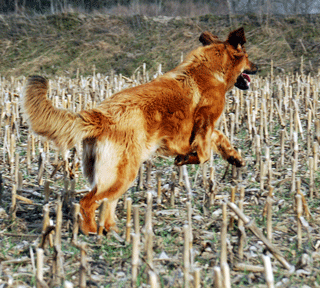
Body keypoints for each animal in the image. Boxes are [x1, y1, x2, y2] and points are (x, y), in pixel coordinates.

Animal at [22, 26, 258, 234]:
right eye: (247, 57)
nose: (258, 68)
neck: (211, 67)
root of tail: (100, 115)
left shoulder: (194, 132)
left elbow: (218, 138)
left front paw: (234, 156)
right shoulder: (204, 122)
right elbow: (204, 153)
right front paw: (186, 159)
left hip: (114, 174)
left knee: (106, 203)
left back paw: (111, 230)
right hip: (123, 173)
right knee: (88, 202)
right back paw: (90, 232)